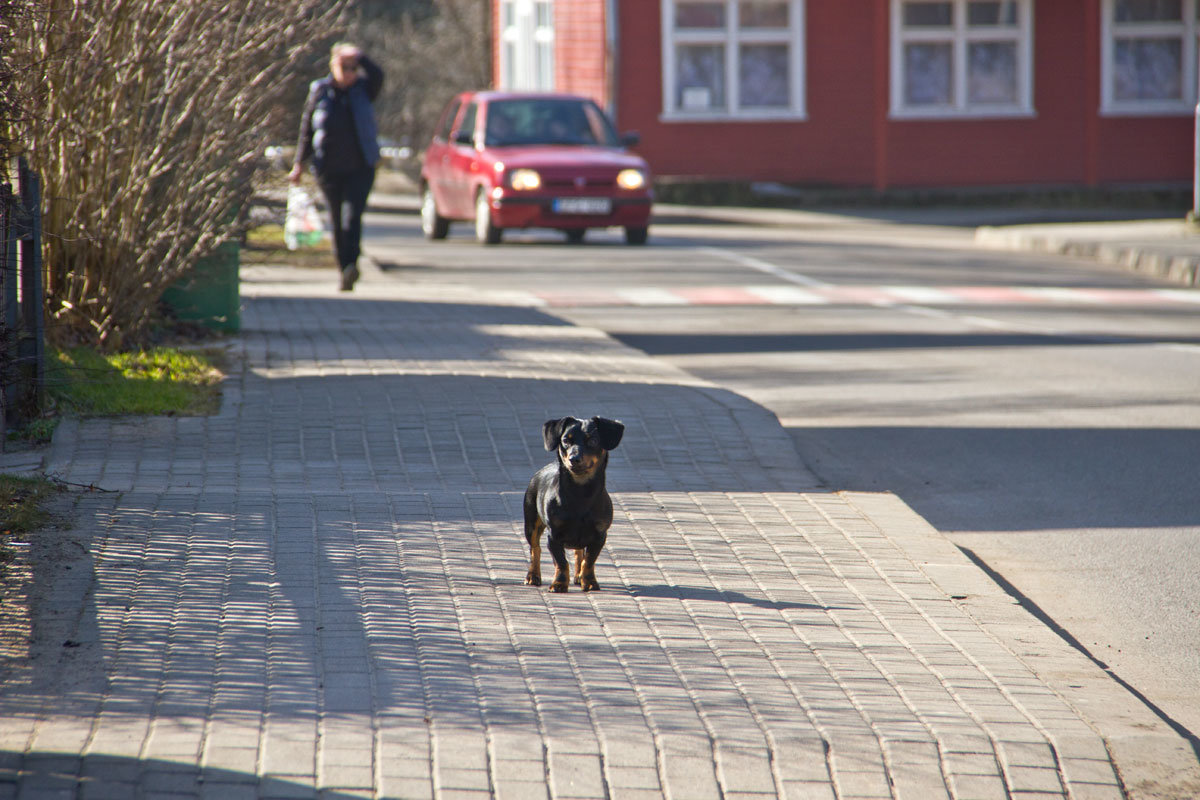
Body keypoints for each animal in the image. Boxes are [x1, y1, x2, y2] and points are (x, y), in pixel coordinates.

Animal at [520, 417, 624, 592]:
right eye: (565, 441)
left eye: (593, 441)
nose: (574, 458)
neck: (580, 493)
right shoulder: (553, 536)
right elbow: (561, 563)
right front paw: (559, 583)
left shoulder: (599, 536)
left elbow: (588, 561)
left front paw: (589, 581)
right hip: (531, 523)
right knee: (535, 549)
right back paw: (533, 576)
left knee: (579, 552)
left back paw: (579, 576)